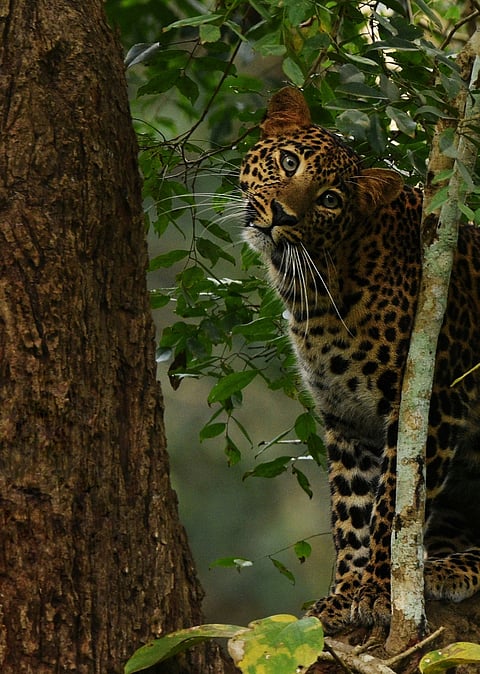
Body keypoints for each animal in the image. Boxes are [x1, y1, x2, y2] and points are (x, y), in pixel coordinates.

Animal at [239, 86, 480, 634]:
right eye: (289, 162)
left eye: (330, 200)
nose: (281, 215)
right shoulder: (345, 417)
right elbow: (351, 512)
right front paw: (344, 594)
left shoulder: (430, 403)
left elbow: (394, 503)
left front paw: (376, 591)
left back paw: (447, 570)